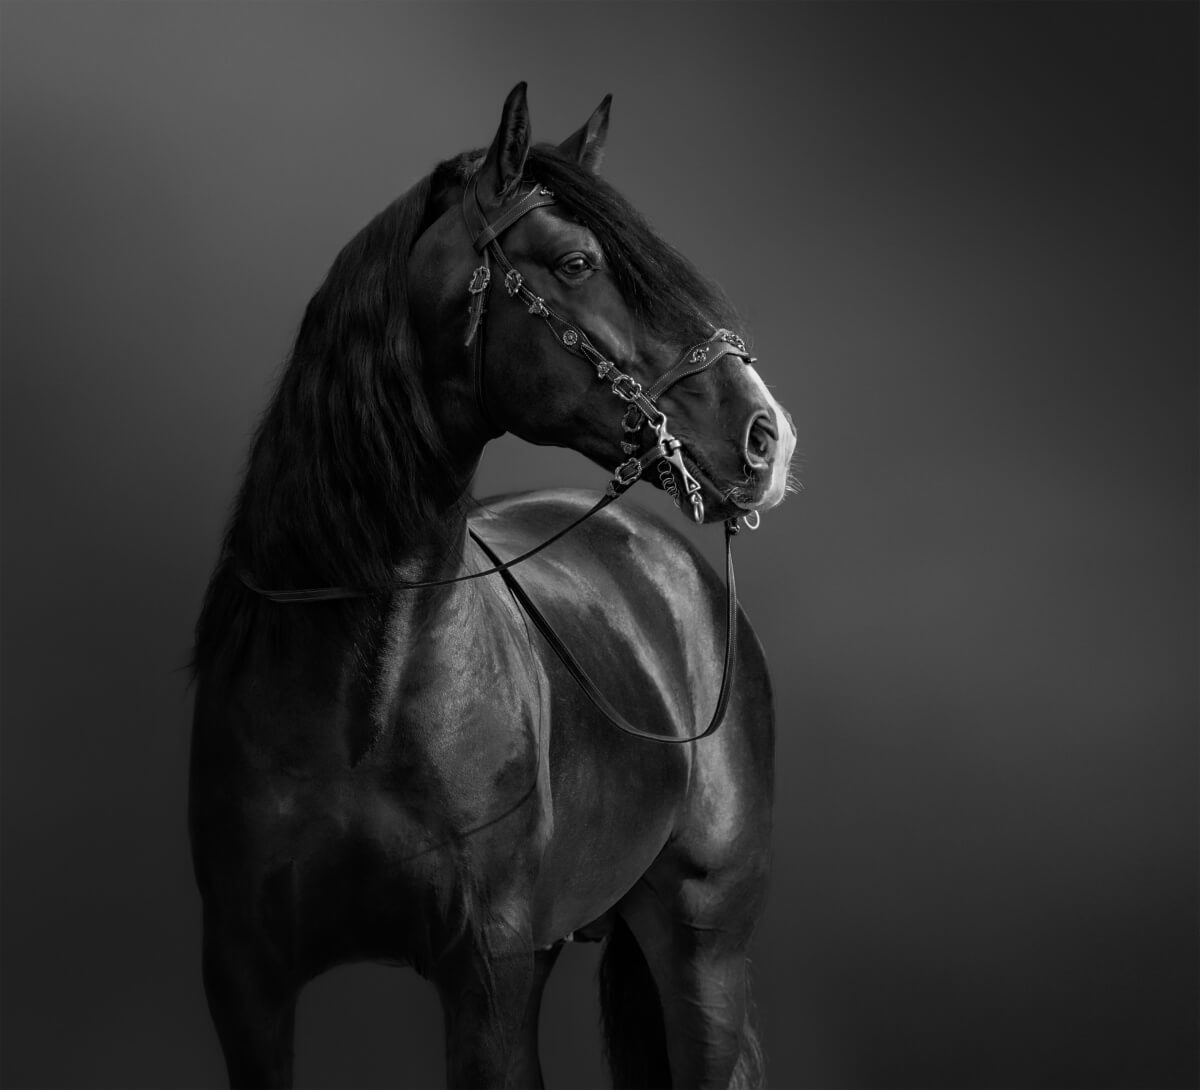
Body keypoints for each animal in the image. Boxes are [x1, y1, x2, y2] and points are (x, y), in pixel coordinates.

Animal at [189, 82, 796, 1089]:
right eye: (577, 262)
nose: (765, 436)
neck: (364, 703)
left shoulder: (488, 974)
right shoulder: (246, 979)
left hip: (703, 945)